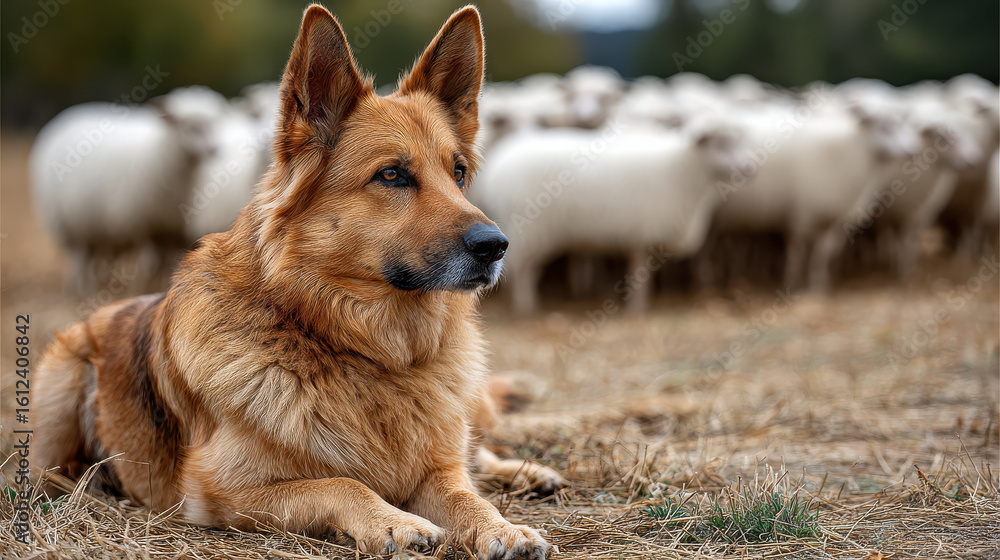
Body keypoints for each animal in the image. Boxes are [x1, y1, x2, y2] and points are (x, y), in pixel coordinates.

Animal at [30, 86, 227, 295]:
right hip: (68, 224)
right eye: (188, 126)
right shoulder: (140, 227)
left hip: (95, 228)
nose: (214, 149)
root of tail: (68, 114)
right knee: (79, 259)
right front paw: (140, 290)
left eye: (217, 124)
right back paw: (83, 289)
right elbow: (145, 265)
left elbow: (168, 264)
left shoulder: (173, 230)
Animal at [471, 122, 748, 313]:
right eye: (720, 144)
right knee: (522, 271)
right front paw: (638, 309)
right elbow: (640, 275)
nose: (748, 168)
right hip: (529, 228)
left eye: (738, 142)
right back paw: (526, 307)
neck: (682, 168)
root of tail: (504, 160)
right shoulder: (641, 235)